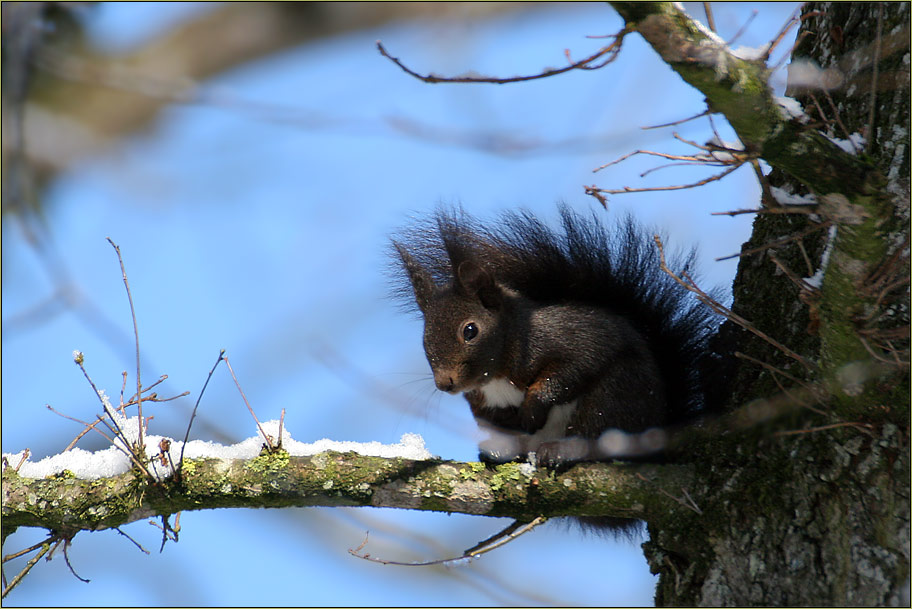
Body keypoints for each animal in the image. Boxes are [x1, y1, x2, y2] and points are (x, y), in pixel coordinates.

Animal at [392, 204, 720, 466]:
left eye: (470, 330)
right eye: (424, 335)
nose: (444, 384)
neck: (496, 373)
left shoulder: (570, 338)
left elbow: (571, 369)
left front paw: (533, 409)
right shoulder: (481, 400)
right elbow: (493, 419)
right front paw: (508, 432)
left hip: (615, 397)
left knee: (595, 438)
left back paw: (563, 452)